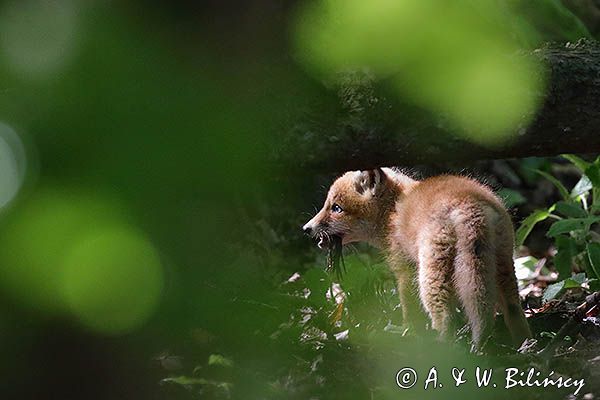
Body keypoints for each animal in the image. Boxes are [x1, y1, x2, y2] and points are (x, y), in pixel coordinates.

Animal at [304, 167, 528, 348]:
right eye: (327, 205)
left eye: (336, 208)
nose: (306, 228)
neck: (392, 211)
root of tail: (468, 203)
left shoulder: (405, 269)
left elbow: (408, 309)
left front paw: (409, 332)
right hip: (502, 266)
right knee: (513, 309)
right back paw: (522, 345)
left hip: (430, 277)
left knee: (445, 317)